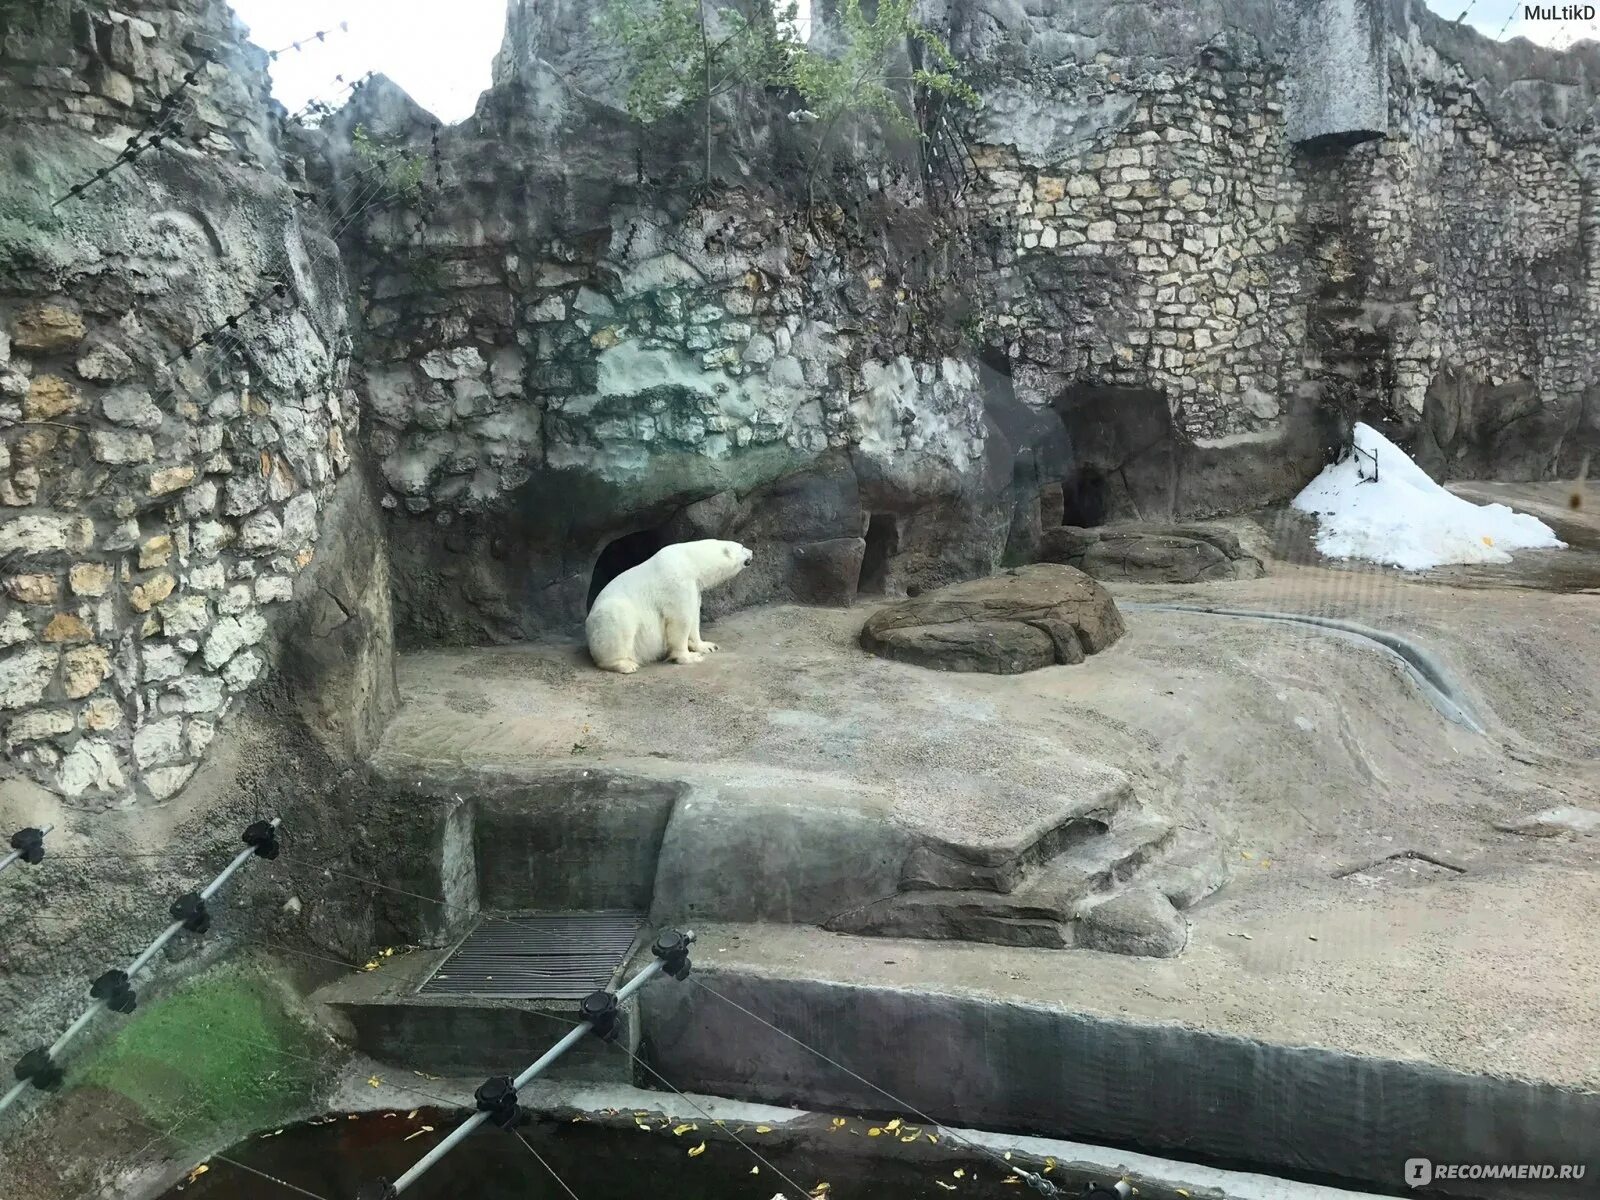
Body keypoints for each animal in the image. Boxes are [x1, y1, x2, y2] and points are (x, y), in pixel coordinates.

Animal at [588, 544, 755, 678]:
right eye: (741, 547)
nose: (752, 551)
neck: (690, 561)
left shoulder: (694, 587)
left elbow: (694, 615)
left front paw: (708, 646)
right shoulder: (677, 582)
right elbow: (681, 619)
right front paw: (690, 657)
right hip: (609, 616)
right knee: (620, 623)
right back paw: (625, 665)